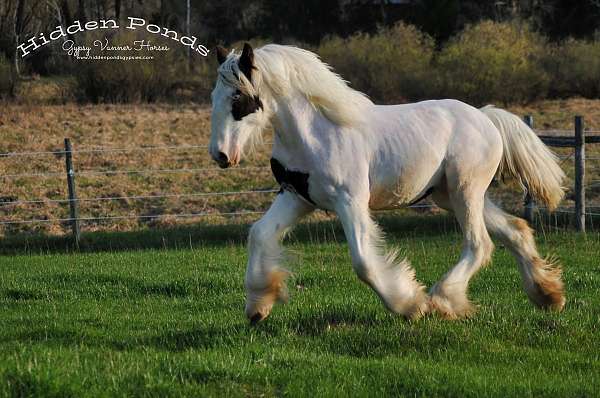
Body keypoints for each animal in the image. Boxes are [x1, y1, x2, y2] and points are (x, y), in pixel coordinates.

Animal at [210, 43, 568, 324]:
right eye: (215, 97)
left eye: (238, 99)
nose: (220, 155)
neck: (317, 132)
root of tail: (485, 116)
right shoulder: (297, 197)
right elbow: (259, 234)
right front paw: (258, 306)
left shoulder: (350, 200)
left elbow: (364, 263)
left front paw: (410, 305)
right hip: (450, 195)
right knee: (515, 230)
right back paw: (548, 296)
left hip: (466, 191)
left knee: (480, 244)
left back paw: (441, 300)